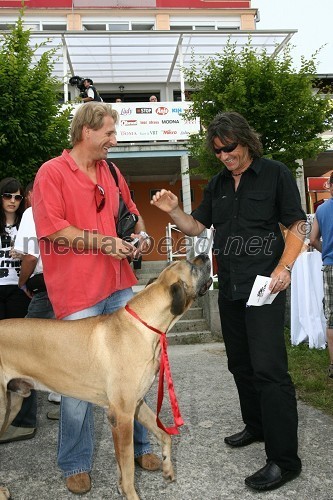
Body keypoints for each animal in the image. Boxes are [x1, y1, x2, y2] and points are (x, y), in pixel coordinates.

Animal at [0, 254, 211, 500]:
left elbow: (163, 436)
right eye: (192, 267)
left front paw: (167, 470)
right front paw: (131, 494)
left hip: (13, 402)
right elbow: (128, 466)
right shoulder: (122, 414)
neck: (144, 324)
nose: (205, 256)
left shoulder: (135, 405)